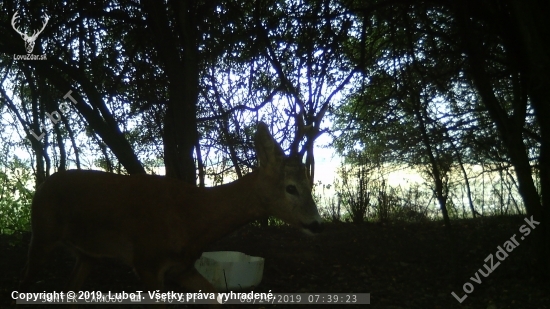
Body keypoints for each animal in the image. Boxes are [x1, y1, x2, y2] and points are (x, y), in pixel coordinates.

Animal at [19, 122, 326, 298]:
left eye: (308, 183)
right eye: (290, 188)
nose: (317, 224)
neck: (192, 218)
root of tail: (43, 184)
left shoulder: (181, 268)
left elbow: (217, 297)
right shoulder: (147, 263)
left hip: (88, 254)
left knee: (67, 289)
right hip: (42, 233)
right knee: (24, 285)